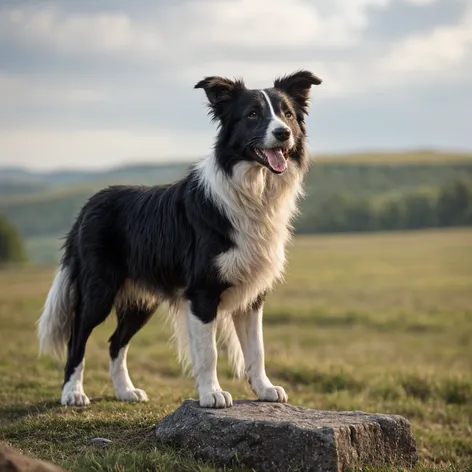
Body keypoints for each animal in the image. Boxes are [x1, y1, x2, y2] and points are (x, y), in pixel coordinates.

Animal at [37, 70, 320, 410]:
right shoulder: (202, 292)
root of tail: (89, 205)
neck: (254, 189)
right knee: (77, 335)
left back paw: (125, 391)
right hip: (99, 289)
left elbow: (257, 349)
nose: (283, 133)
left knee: (116, 342)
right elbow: (209, 353)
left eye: (287, 114)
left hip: (140, 299)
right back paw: (73, 393)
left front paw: (265, 389)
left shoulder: (253, 295)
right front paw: (212, 394)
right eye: (252, 114)